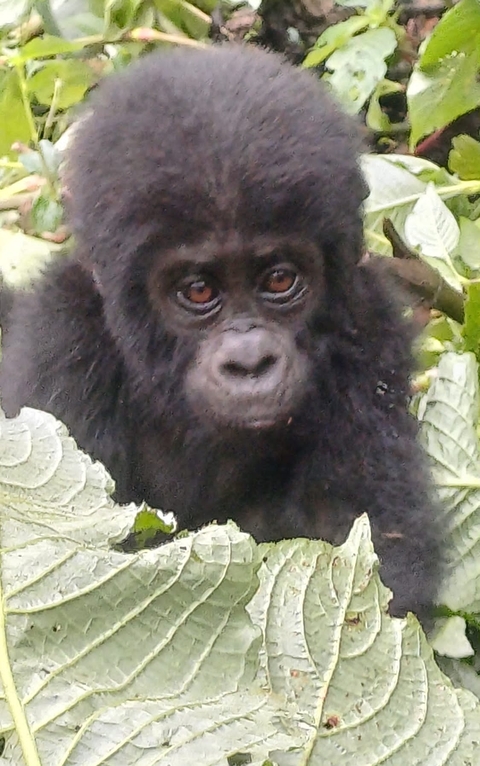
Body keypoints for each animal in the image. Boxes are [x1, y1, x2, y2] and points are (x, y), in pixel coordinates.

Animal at [0, 45, 441, 620]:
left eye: (279, 279)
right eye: (198, 290)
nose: (249, 362)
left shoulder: (369, 331)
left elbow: (373, 561)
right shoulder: (61, 344)